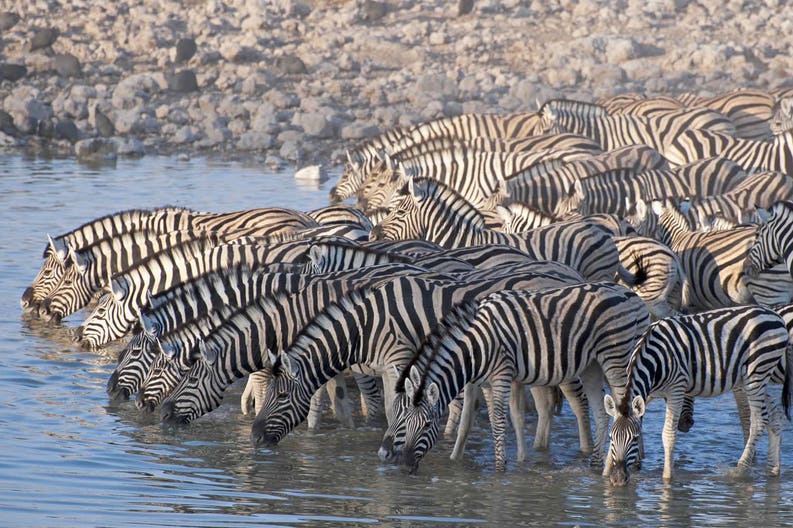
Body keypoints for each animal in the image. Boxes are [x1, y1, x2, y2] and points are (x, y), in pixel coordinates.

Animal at [385, 281, 650, 472]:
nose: (404, 466)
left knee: (627, 408)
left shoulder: (502, 374)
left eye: (428, 425)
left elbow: (500, 420)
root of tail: (630, 293)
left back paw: (628, 463)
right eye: (402, 419)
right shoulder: (482, 382)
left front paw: (499, 467)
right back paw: (597, 463)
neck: (475, 347)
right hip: (592, 367)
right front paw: (459, 459)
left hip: (616, 358)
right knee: (601, 412)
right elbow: (478, 422)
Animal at [603, 305, 792, 485]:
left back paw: (740, 469)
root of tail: (776, 317)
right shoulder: (649, 393)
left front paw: (667, 478)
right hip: (758, 378)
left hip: (756, 374)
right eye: (611, 438)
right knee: (774, 417)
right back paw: (772, 470)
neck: (655, 358)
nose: (618, 479)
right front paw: (604, 474)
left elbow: (668, 434)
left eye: (635, 439)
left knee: (758, 421)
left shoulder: (676, 388)